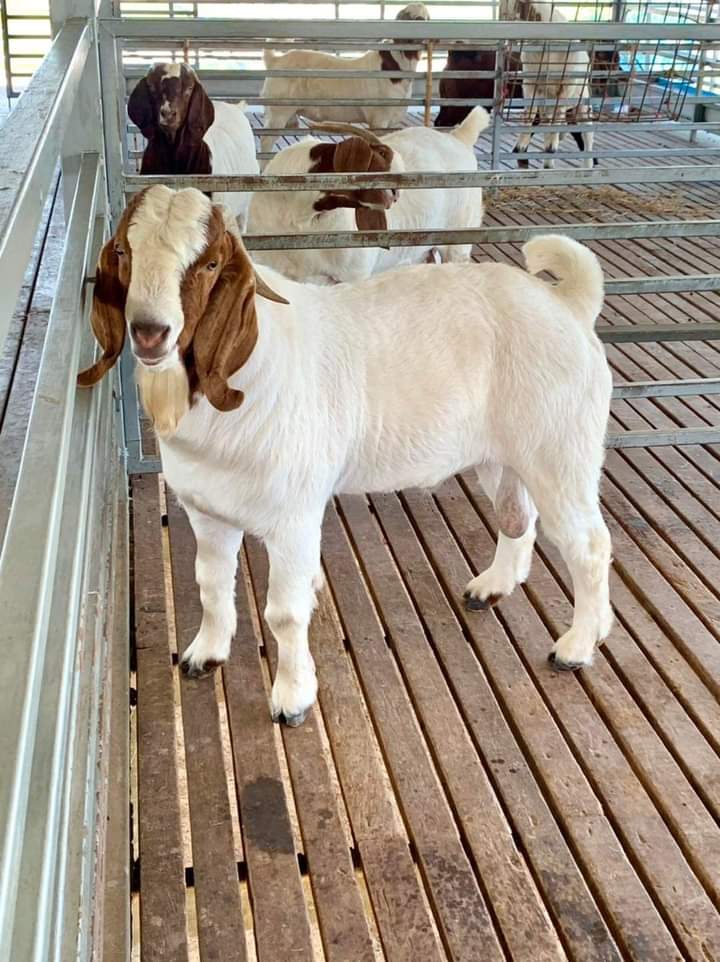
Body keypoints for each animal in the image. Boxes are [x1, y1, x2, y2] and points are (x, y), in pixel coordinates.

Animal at [79, 184, 614, 727]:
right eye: (122, 251)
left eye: (209, 263)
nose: (150, 332)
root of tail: (567, 304)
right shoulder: (206, 509)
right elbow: (210, 583)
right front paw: (204, 654)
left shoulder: (293, 519)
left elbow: (284, 613)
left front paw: (293, 698)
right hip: (505, 455)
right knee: (517, 517)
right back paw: (492, 586)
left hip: (561, 448)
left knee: (588, 544)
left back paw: (575, 646)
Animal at [259, 3, 430, 160]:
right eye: (408, 16)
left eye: (427, 16)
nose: (421, 20)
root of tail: (275, 60)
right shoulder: (379, 118)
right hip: (278, 111)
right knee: (266, 140)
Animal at [499, 0, 596, 168]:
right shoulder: (530, 83)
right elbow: (530, 114)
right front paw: (521, 146)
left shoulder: (566, 86)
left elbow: (557, 116)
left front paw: (552, 146)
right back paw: (548, 162)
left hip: (583, 104)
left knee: (587, 134)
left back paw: (586, 164)